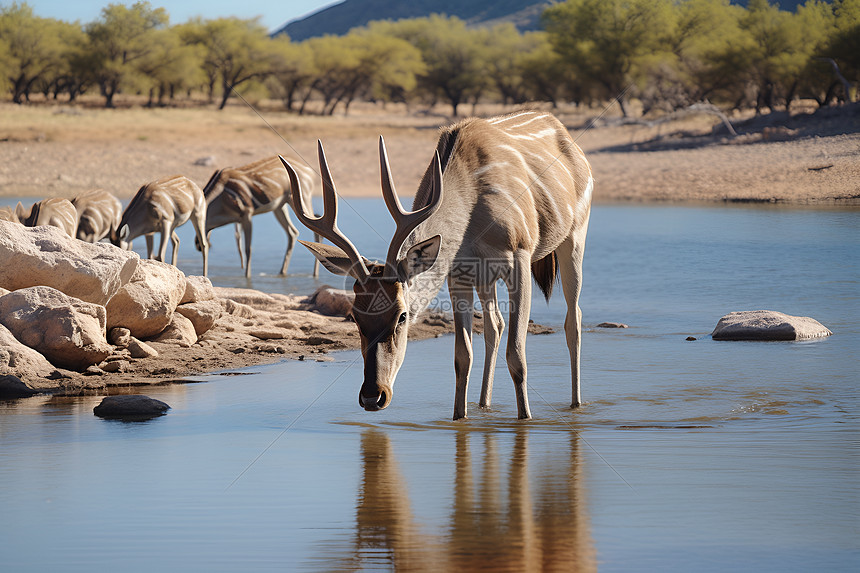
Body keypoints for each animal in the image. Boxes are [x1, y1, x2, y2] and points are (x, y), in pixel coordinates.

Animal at [286, 109, 596, 418]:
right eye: (354, 316)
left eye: (402, 315)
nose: (373, 396)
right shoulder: (458, 274)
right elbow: (462, 357)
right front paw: (459, 417)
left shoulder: (520, 253)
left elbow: (517, 356)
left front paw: (526, 418)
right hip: (486, 277)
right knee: (495, 325)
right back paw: (484, 404)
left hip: (576, 234)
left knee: (574, 319)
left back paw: (576, 403)